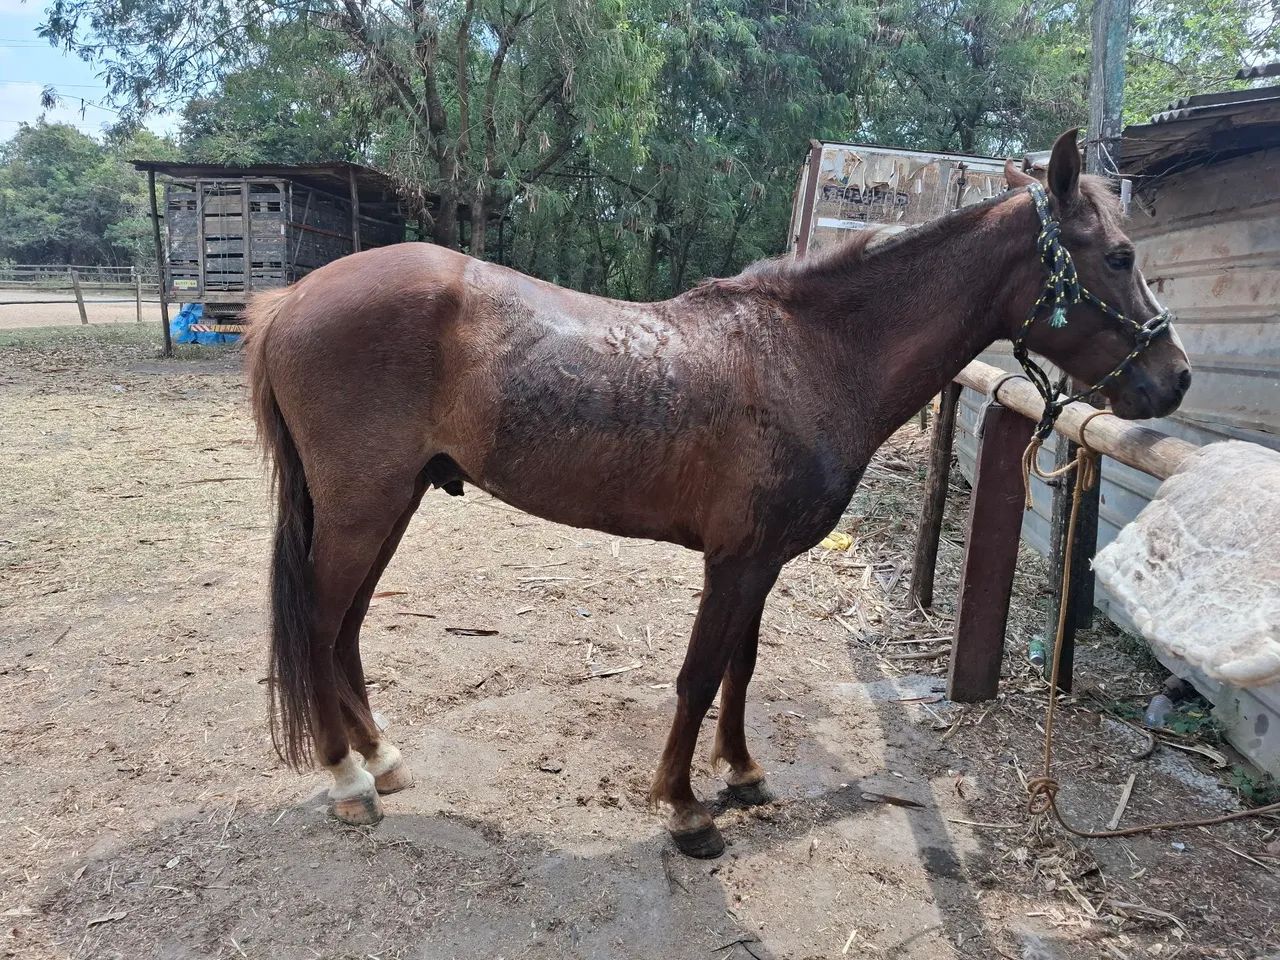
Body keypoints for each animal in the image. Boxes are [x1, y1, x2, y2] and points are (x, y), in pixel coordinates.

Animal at [243, 131, 1190, 858]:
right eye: (1119, 255)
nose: (1174, 376)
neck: (813, 355)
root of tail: (290, 299)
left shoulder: (762, 561)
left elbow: (742, 665)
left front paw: (742, 773)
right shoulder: (733, 560)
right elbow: (698, 675)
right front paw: (684, 806)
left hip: (391, 504)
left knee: (346, 629)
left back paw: (380, 757)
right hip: (363, 509)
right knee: (321, 626)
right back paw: (348, 778)